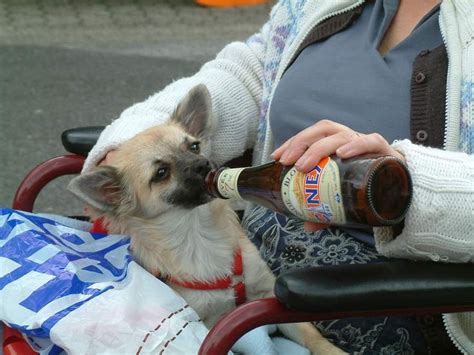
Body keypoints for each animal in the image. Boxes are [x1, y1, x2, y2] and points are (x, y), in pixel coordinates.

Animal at [68, 85, 344, 354]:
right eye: (161, 173)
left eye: (194, 147)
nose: (203, 164)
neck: (197, 232)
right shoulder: (205, 321)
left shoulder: (267, 295)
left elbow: (311, 336)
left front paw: (332, 351)